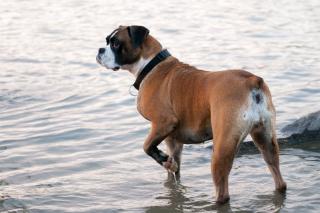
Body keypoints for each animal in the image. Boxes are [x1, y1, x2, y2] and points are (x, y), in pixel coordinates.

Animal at [95, 25, 288, 203]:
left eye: (116, 43)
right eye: (107, 40)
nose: (99, 50)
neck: (152, 64)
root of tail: (251, 81)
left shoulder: (164, 123)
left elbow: (147, 146)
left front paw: (164, 160)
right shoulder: (172, 140)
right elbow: (174, 171)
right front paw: (169, 166)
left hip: (221, 149)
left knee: (223, 193)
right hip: (266, 141)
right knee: (279, 179)